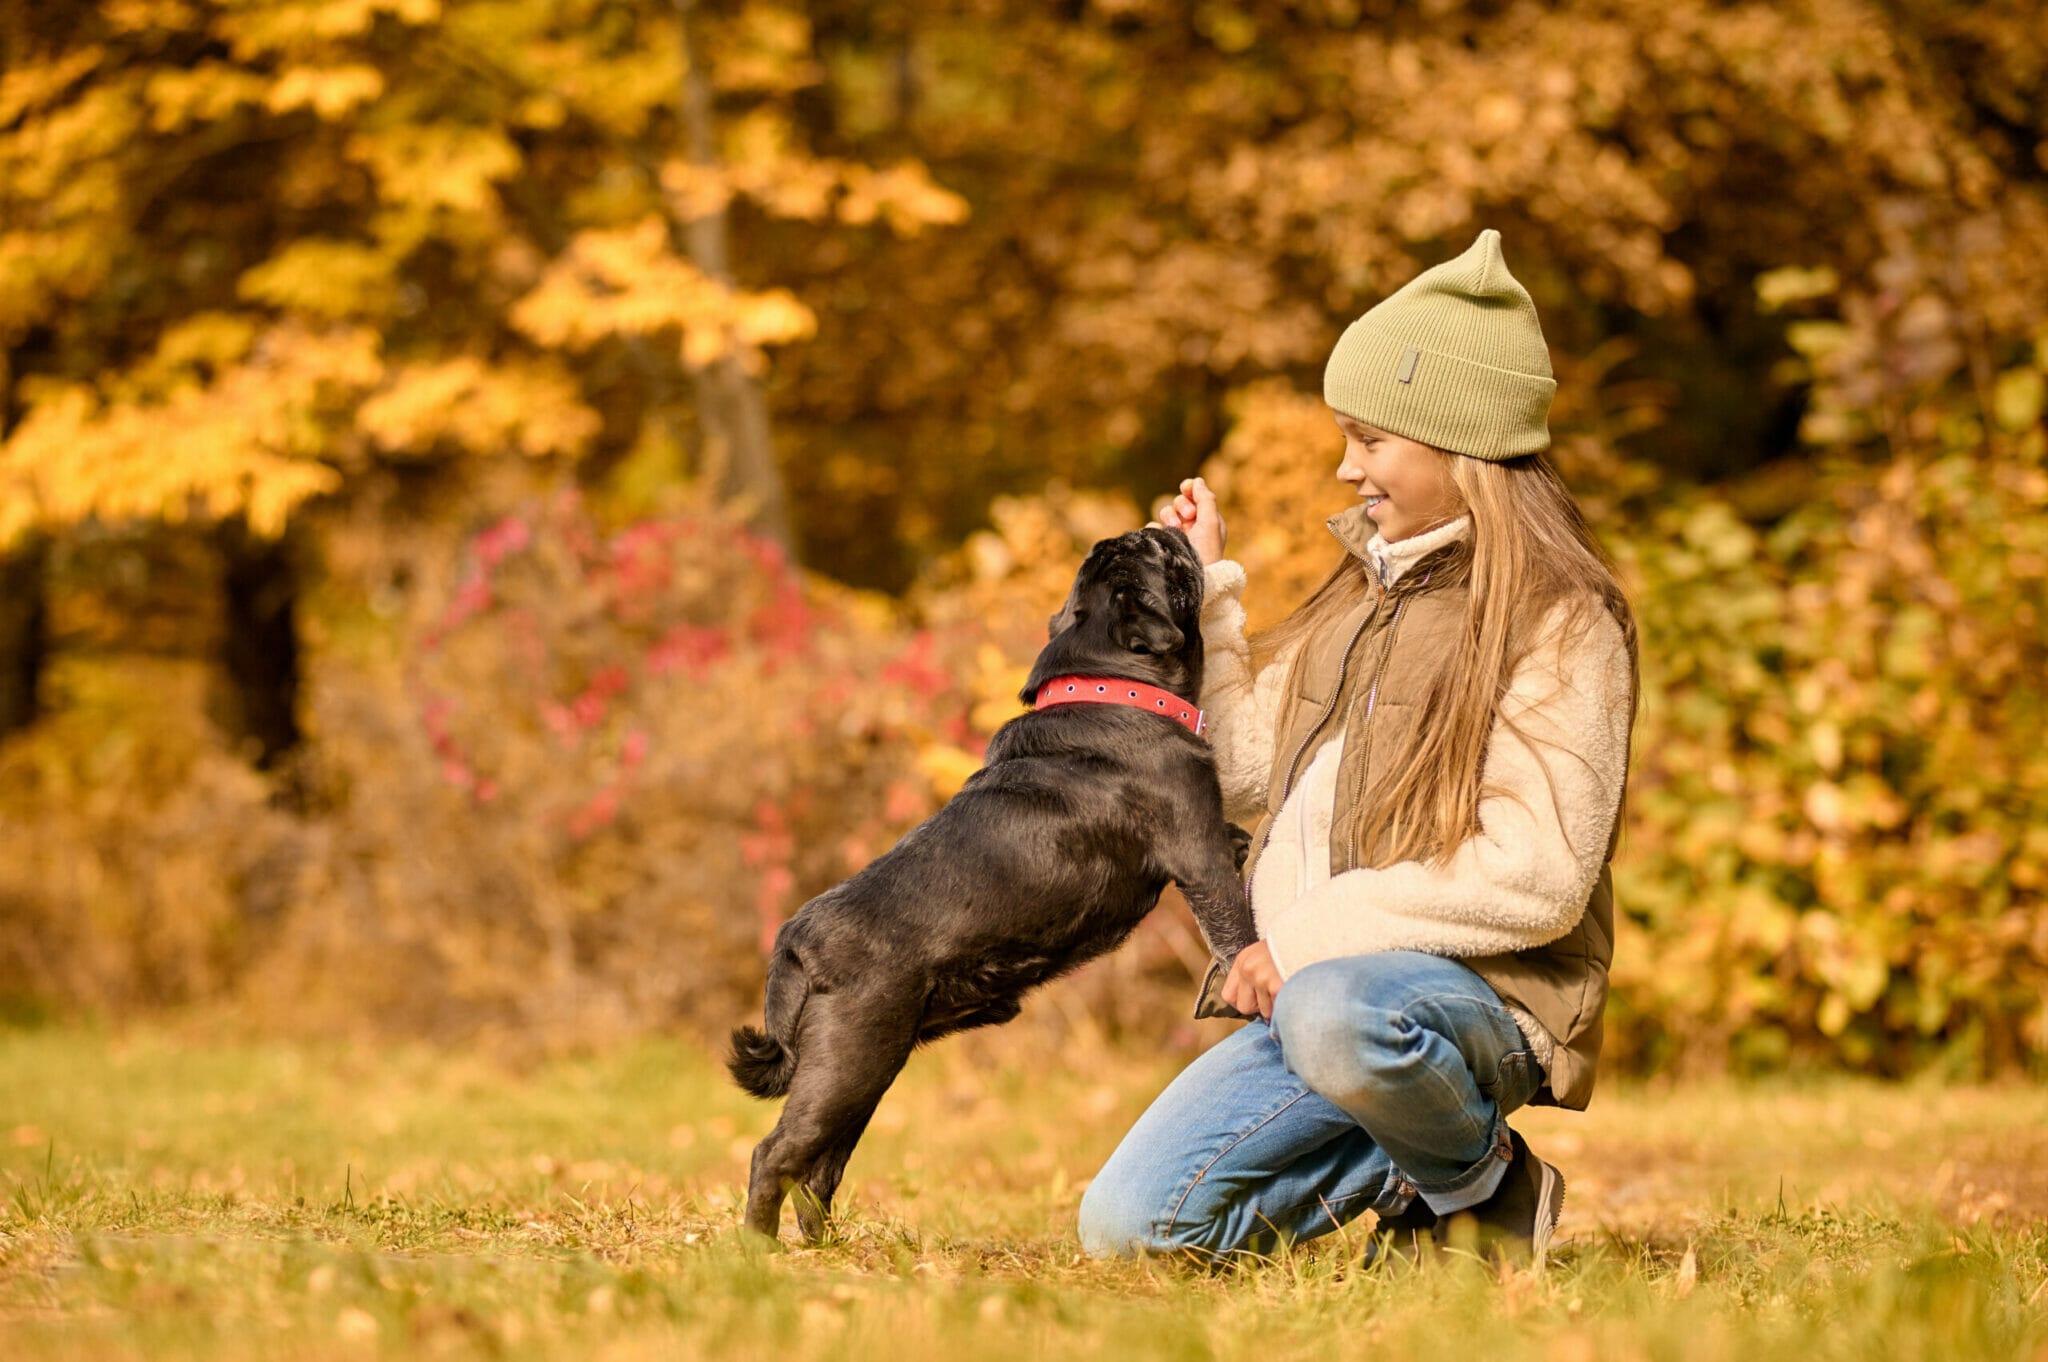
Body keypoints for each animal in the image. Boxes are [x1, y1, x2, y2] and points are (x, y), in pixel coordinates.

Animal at [729, 522, 1253, 1245]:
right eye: (1161, 555)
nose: (1164, 525)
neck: (1114, 685)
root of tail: (795, 939)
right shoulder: (1201, 859)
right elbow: (1238, 927)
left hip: (864, 1071)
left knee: (818, 1172)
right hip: (850, 1062)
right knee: (774, 1156)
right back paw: (757, 1251)